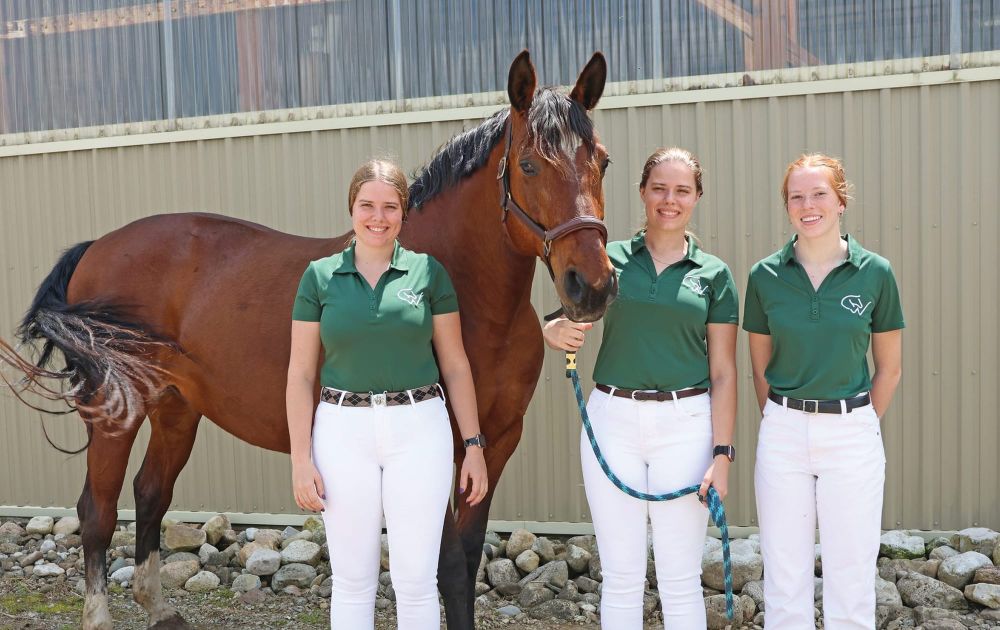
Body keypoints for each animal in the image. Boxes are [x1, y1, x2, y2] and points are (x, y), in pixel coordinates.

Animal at [0, 50, 617, 629]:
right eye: (529, 165)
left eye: (603, 161)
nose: (591, 286)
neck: (470, 296)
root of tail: (98, 246)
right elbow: (448, 567)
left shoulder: (493, 445)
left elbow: (464, 559)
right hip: (113, 414)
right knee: (97, 509)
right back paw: (100, 615)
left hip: (175, 409)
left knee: (150, 496)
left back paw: (159, 608)